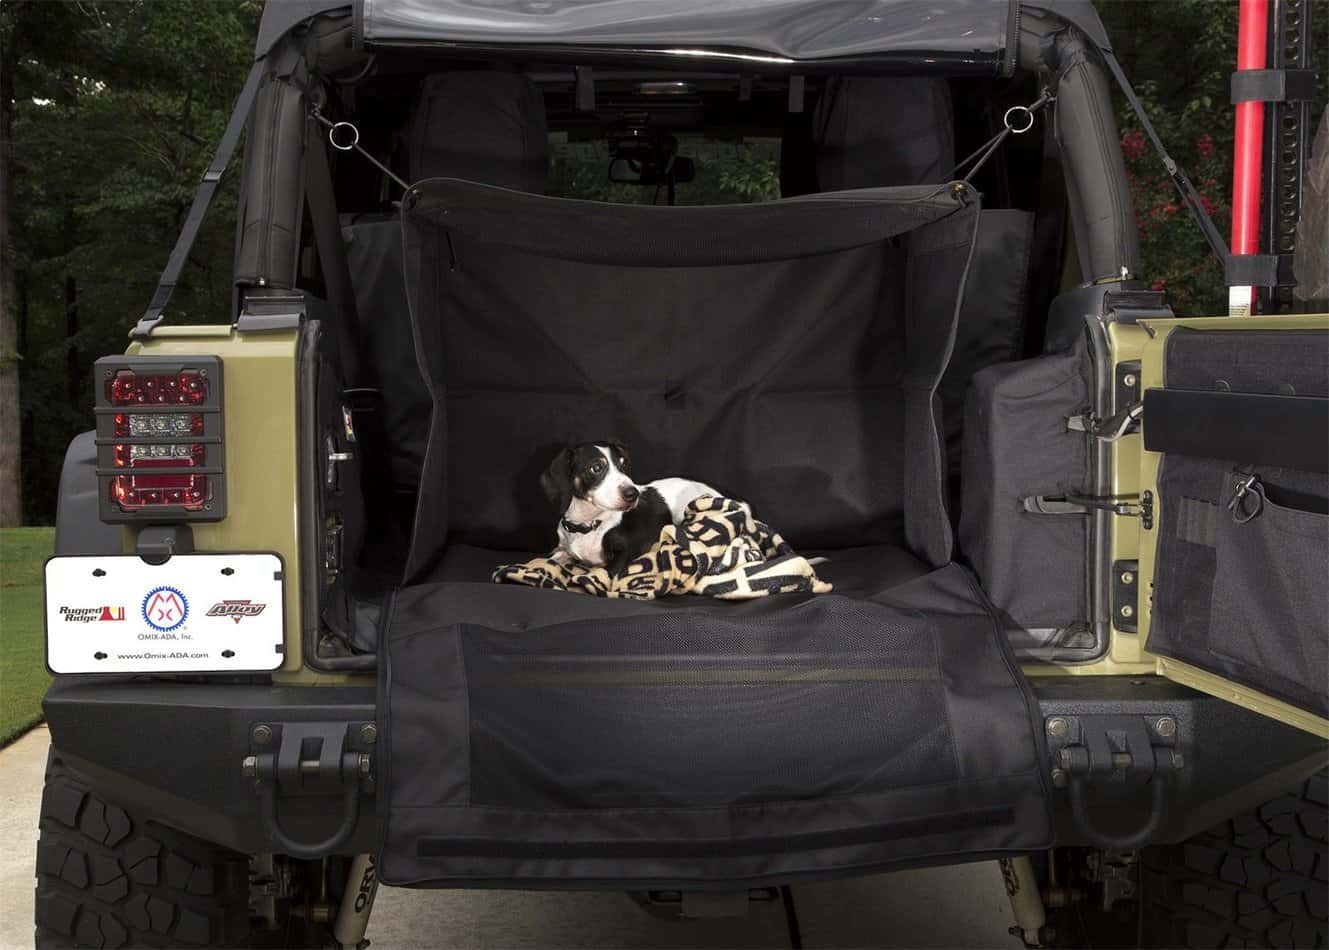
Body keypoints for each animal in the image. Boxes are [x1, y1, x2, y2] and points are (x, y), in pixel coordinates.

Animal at [539, 441, 722, 576]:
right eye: (596, 468)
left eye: (623, 465)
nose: (633, 494)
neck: (589, 524)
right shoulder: (562, 550)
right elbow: (546, 560)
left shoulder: (625, 552)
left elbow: (601, 573)